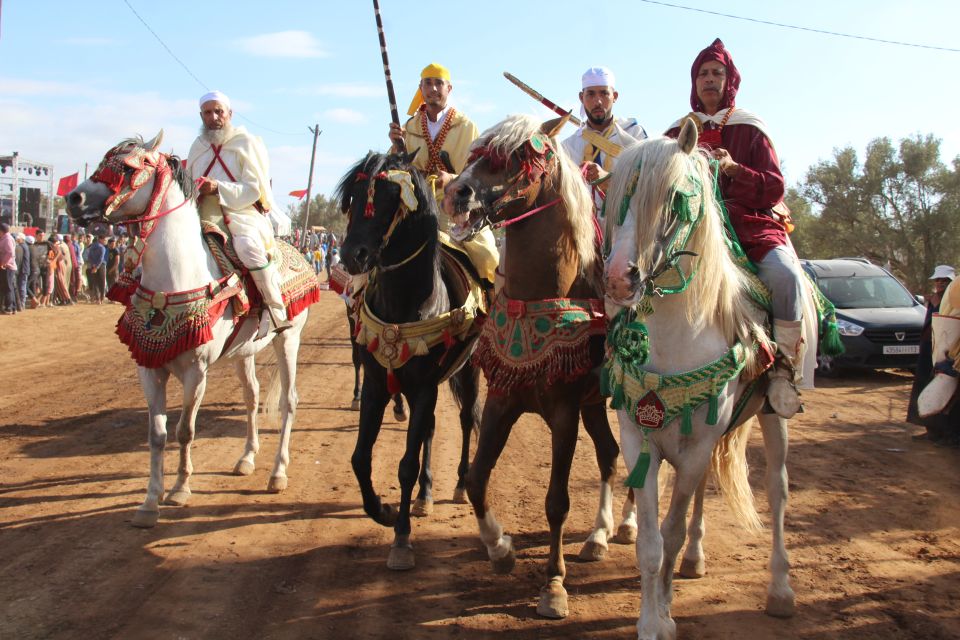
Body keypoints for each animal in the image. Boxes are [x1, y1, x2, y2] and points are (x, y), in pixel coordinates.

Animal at [64, 132, 318, 528]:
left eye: (131, 167)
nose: (73, 199)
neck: (176, 276)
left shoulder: (195, 371)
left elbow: (185, 431)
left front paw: (180, 488)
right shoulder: (149, 367)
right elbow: (157, 434)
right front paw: (149, 502)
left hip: (288, 340)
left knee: (288, 401)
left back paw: (278, 473)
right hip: (244, 352)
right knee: (252, 396)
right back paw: (247, 458)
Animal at [340, 151, 488, 568]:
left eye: (393, 199)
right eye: (353, 195)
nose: (351, 255)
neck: (404, 304)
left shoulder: (423, 387)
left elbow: (406, 464)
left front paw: (402, 538)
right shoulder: (378, 384)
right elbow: (360, 458)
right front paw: (383, 511)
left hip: (468, 370)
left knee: (466, 419)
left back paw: (457, 483)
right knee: (431, 430)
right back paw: (425, 494)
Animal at [448, 115, 624, 620]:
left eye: (516, 157)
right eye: (476, 152)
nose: (456, 191)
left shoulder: (563, 416)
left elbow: (556, 502)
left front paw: (553, 585)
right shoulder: (502, 403)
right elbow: (477, 478)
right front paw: (500, 549)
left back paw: (625, 527)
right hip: (593, 405)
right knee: (609, 456)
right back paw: (598, 536)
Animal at [600, 119, 816, 636]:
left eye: (675, 196)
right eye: (613, 196)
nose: (618, 278)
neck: (677, 336)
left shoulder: (697, 446)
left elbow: (672, 532)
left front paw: (664, 616)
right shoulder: (641, 437)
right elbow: (652, 543)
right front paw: (651, 618)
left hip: (773, 418)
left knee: (777, 492)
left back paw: (780, 590)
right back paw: (696, 561)